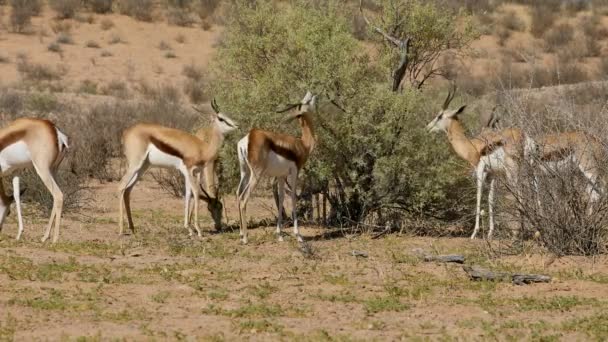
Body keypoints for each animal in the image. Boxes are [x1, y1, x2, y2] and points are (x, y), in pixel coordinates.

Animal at [116, 99, 238, 236]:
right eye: (221, 118)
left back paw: (132, 228)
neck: (203, 147)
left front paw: (189, 229)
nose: (236, 125)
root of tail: (126, 132)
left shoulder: (191, 172)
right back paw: (121, 230)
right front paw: (198, 230)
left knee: (127, 190)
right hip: (135, 165)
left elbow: (188, 194)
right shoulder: (189, 170)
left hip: (142, 167)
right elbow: (196, 192)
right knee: (121, 186)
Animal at [235, 92, 316, 244]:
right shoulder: (295, 171)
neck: (302, 144)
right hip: (256, 175)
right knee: (244, 197)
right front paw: (298, 235)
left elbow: (281, 197)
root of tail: (249, 137)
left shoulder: (281, 175)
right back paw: (246, 238)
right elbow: (293, 197)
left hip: (245, 172)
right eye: (307, 102)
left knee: (238, 193)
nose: (312, 94)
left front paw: (279, 234)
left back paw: (241, 234)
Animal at [426, 86, 536, 238]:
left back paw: (517, 232)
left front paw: (474, 233)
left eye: (440, 116)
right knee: (534, 189)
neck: (471, 146)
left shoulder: (479, 170)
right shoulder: (493, 175)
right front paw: (490, 233)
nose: (428, 127)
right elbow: (490, 199)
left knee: (519, 193)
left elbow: (478, 196)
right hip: (530, 167)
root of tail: (524, 136)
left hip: (512, 171)